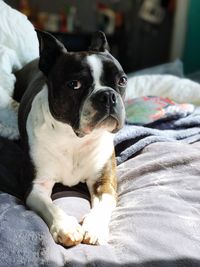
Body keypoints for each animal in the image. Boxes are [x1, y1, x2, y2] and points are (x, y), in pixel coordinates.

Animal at [16, 30, 127, 248]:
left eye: (122, 81)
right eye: (74, 85)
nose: (108, 95)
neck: (74, 139)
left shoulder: (105, 181)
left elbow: (102, 206)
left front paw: (95, 227)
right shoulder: (36, 186)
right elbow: (51, 207)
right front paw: (65, 226)